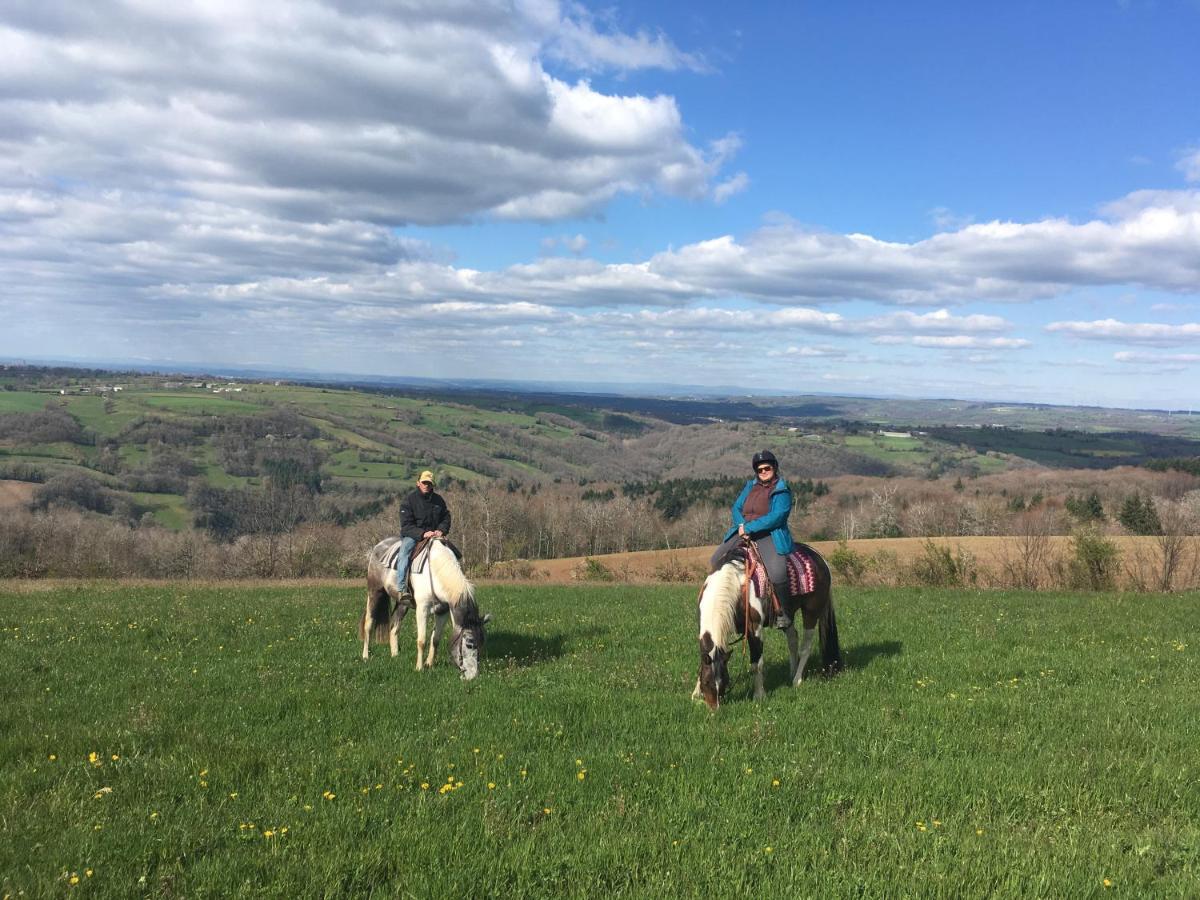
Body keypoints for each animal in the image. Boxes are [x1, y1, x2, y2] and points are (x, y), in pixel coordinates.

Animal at [357, 540, 489, 681]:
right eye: (469, 644)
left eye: (482, 643)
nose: (473, 676)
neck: (436, 571)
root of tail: (378, 546)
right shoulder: (422, 609)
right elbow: (421, 641)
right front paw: (419, 668)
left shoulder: (442, 612)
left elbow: (435, 639)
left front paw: (429, 664)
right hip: (374, 593)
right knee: (368, 625)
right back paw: (366, 656)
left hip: (403, 603)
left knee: (394, 628)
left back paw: (395, 655)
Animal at [696, 542, 844, 710]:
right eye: (706, 681)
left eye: (725, 681)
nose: (714, 708)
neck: (736, 585)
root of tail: (819, 556)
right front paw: (696, 694)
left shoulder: (755, 629)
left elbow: (757, 664)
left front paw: (759, 695)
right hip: (789, 614)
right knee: (793, 640)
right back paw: (792, 672)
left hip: (811, 612)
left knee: (805, 647)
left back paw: (797, 680)